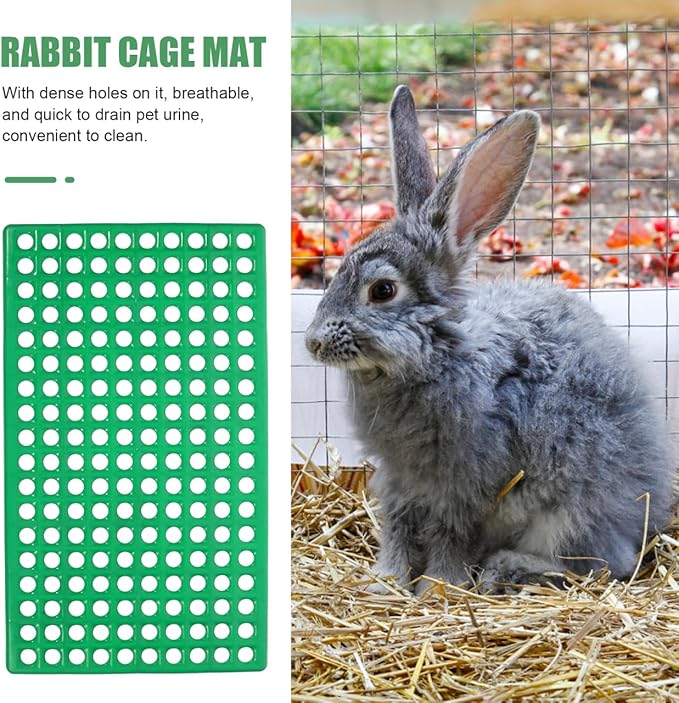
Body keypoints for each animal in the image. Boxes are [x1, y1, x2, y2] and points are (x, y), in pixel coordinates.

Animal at [305, 85, 676, 595]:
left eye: (382, 291)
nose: (312, 342)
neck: (437, 355)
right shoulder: (399, 481)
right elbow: (398, 528)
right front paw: (385, 582)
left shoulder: (463, 486)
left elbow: (449, 535)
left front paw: (438, 586)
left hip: (569, 512)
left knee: (603, 564)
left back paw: (507, 569)